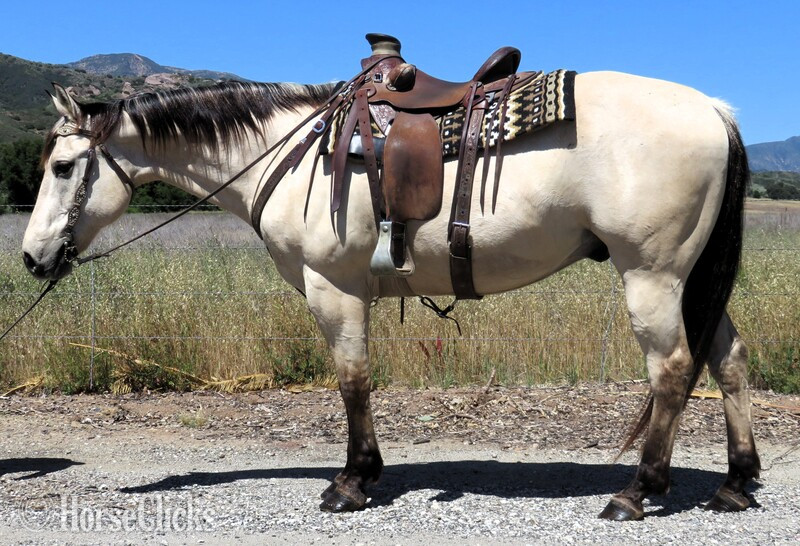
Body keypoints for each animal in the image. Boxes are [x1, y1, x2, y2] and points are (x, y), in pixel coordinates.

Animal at [22, 69, 758, 520]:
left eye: (63, 167)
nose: (31, 257)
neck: (285, 154)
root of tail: (713, 110)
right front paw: (363, 474)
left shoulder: (334, 288)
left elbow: (353, 380)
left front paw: (352, 481)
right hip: (690, 278)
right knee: (728, 359)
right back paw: (736, 482)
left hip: (652, 274)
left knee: (672, 369)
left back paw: (636, 492)